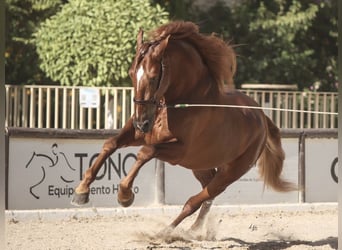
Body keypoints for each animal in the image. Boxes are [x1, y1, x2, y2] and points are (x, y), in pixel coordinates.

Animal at [71, 21, 294, 230]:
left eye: (153, 76)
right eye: (131, 72)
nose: (141, 122)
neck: (179, 102)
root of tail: (261, 117)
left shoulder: (178, 151)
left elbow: (145, 152)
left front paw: (125, 195)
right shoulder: (138, 134)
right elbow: (110, 144)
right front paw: (81, 191)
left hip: (230, 172)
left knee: (197, 199)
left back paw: (169, 232)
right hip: (200, 165)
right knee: (207, 195)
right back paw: (194, 230)